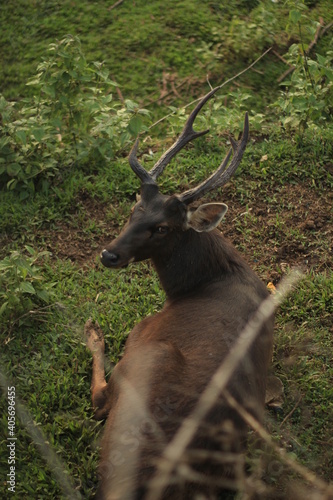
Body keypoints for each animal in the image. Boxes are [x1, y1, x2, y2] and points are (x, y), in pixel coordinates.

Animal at [85, 87, 272, 500]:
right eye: (135, 207)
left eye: (162, 228)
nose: (109, 254)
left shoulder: (142, 331)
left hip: (144, 360)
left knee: (99, 398)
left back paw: (93, 331)